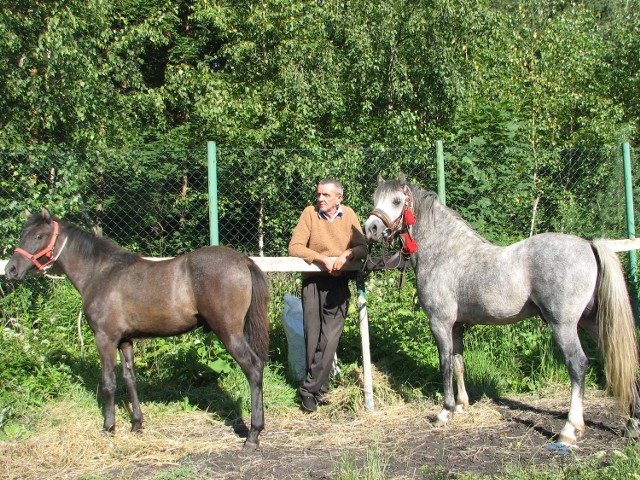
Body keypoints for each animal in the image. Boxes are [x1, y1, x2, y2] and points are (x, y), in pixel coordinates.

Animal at [3, 209, 268, 450]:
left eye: (39, 235)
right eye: (23, 234)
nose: (10, 270)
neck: (100, 273)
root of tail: (243, 260)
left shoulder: (105, 339)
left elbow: (108, 382)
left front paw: (108, 427)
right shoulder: (125, 341)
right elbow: (129, 379)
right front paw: (137, 424)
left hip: (229, 333)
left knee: (254, 369)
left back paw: (252, 435)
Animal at [364, 174, 640, 444]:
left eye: (397, 201)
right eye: (375, 198)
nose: (371, 228)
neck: (445, 253)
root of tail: (589, 246)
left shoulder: (440, 323)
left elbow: (445, 364)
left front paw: (445, 411)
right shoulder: (457, 326)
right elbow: (459, 363)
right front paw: (462, 405)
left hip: (564, 325)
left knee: (578, 365)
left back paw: (570, 430)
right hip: (594, 322)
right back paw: (632, 425)